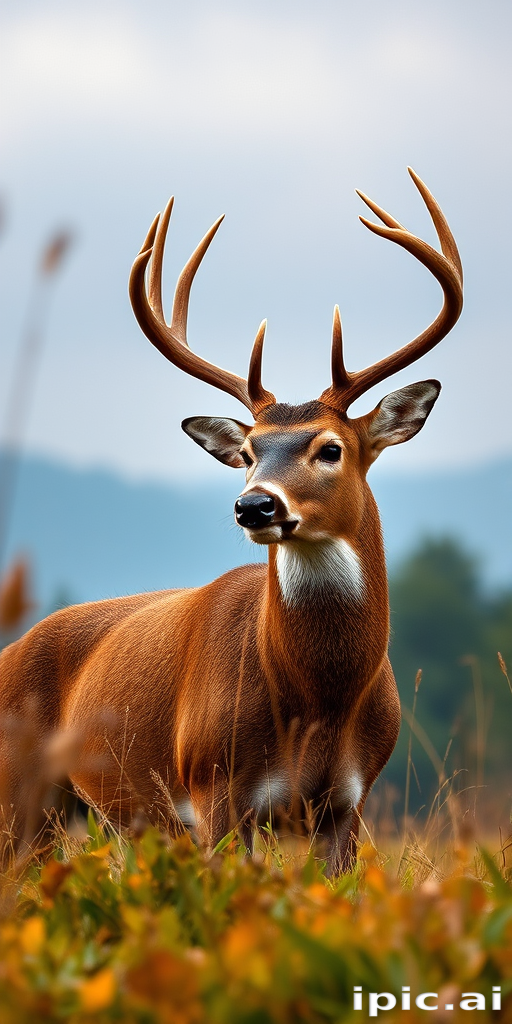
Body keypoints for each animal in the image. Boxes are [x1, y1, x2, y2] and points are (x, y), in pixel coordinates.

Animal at [0, 169, 462, 873]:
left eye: (330, 449)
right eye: (247, 452)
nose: (255, 505)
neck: (318, 703)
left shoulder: (348, 806)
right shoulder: (213, 788)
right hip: (20, 795)